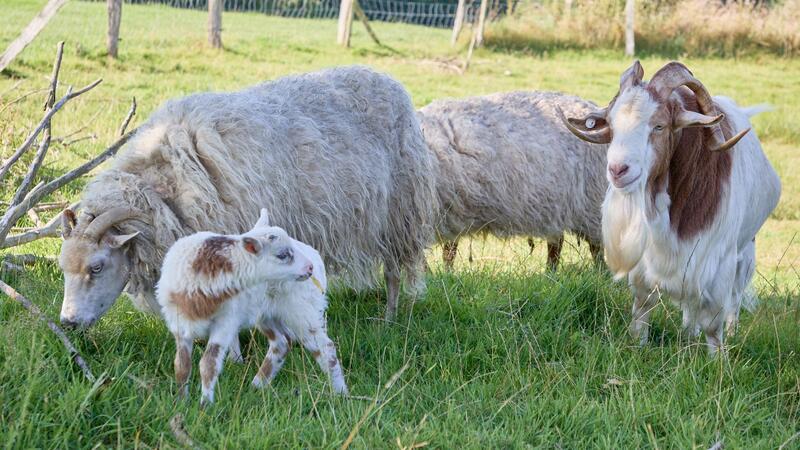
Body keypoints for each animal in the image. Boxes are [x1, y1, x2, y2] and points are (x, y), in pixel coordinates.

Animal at [58, 65, 437, 334]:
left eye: (97, 266)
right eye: (64, 268)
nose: (68, 323)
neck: (166, 190)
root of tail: (390, 80)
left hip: (398, 213)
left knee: (393, 272)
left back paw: (389, 319)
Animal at [157, 209, 347, 405]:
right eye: (282, 255)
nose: (308, 268)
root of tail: (316, 257)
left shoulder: (225, 322)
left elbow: (208, 364)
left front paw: (205, 405)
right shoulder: (179, 325)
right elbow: (181, 366)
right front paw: (181, 402)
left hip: (301, 310)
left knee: (326, 348)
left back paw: (340, 394)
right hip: (266, 314)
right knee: (281, 343)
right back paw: (256, 386)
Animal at [417, 91, 607, 270]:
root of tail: (591, 106)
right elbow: (446, 252)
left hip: (591, 202)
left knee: (596, 246)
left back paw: (600, 274)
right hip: (557, 206)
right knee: (557, 243)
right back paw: (550, 274)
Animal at [558, 61, 781, 354]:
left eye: (659, 126)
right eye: (612, 126)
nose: (618, 170)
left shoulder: (717, 258)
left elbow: (714, 323)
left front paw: (717, 359)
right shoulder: (648, 259)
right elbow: (643, 306)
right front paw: (638, 345)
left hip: (745, 250)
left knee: (734, 298)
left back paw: (730, 333)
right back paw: (688, 334)